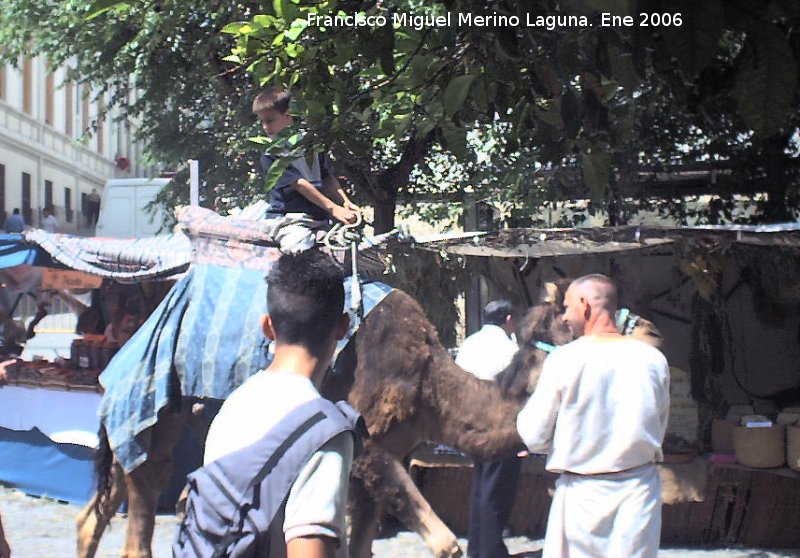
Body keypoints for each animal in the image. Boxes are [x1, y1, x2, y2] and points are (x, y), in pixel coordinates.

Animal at [75, 284, 660, 558]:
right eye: (577, 320)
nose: (648, 327)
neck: (431, 385)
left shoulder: (383, 459)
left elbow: (360, 544)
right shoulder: (370, 448)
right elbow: (446, 544)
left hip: (142, 431)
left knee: (97, 511)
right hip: (153, 417)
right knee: (139, 516)